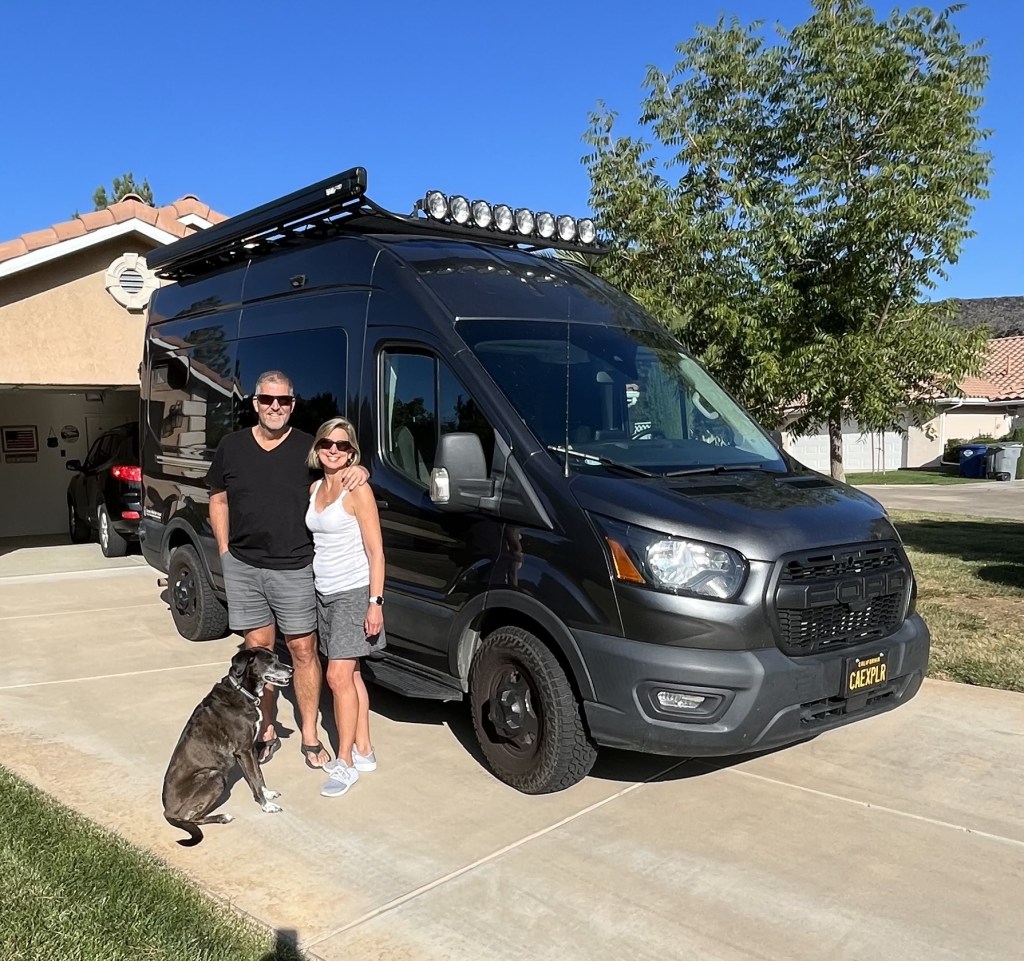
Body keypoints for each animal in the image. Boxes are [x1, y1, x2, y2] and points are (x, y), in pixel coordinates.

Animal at [162, 648, 293, 846]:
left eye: (277, 658)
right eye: (270, 662)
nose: (292, 670)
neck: (242, 692)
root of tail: (167, 812)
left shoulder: (251, 749)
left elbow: (258, 775)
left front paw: (267, 793)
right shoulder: (244, 751)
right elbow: (255, 780)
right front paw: (266, 806)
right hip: (215, 777)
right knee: (190, 817)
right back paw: (222, 817)